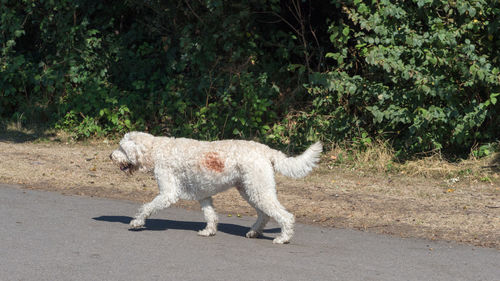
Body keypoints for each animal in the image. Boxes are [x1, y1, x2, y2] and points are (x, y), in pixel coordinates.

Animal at [110, 131, 322, 243]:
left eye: (121, 148)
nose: (111, 156)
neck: (157, 150)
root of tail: (266, 149)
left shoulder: (168, 193)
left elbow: (146, 207)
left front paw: (137, 222)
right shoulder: (203, 195)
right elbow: (210, 215)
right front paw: (209, 231)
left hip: (258, 190)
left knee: (285, 216)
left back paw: (283, 238)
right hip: (251, 190)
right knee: (265, 215)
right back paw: (254, 232)